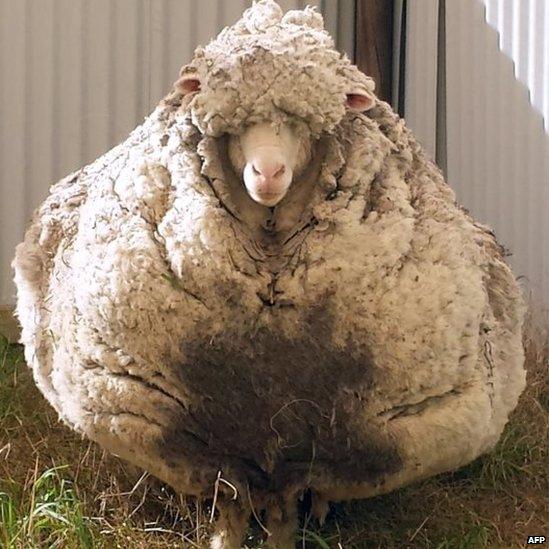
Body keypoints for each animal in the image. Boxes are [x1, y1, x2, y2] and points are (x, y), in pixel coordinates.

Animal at [13, 2, 528, 544]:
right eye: (235, 126)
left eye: (304, 126)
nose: (268, 174)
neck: (270, 255)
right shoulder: (208, 448)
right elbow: (230, 509)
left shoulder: (309, 457)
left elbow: (283, 520)